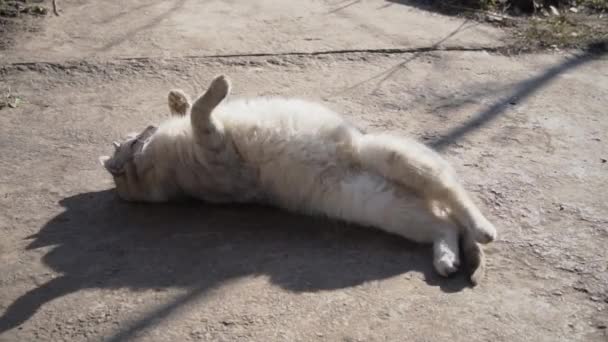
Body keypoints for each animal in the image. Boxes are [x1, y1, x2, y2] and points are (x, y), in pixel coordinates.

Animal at [100, 75, 496, 286]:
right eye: (131, 143)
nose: (146, 129)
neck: (159, 166)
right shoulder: (216, 149)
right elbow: (202, 111)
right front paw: (211, 90)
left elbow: (192, 109)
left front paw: (177, 98)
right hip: (392, 189)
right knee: (448, 215)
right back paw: (462, 246)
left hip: (391, 171)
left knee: (450, 210)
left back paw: (458, 249)